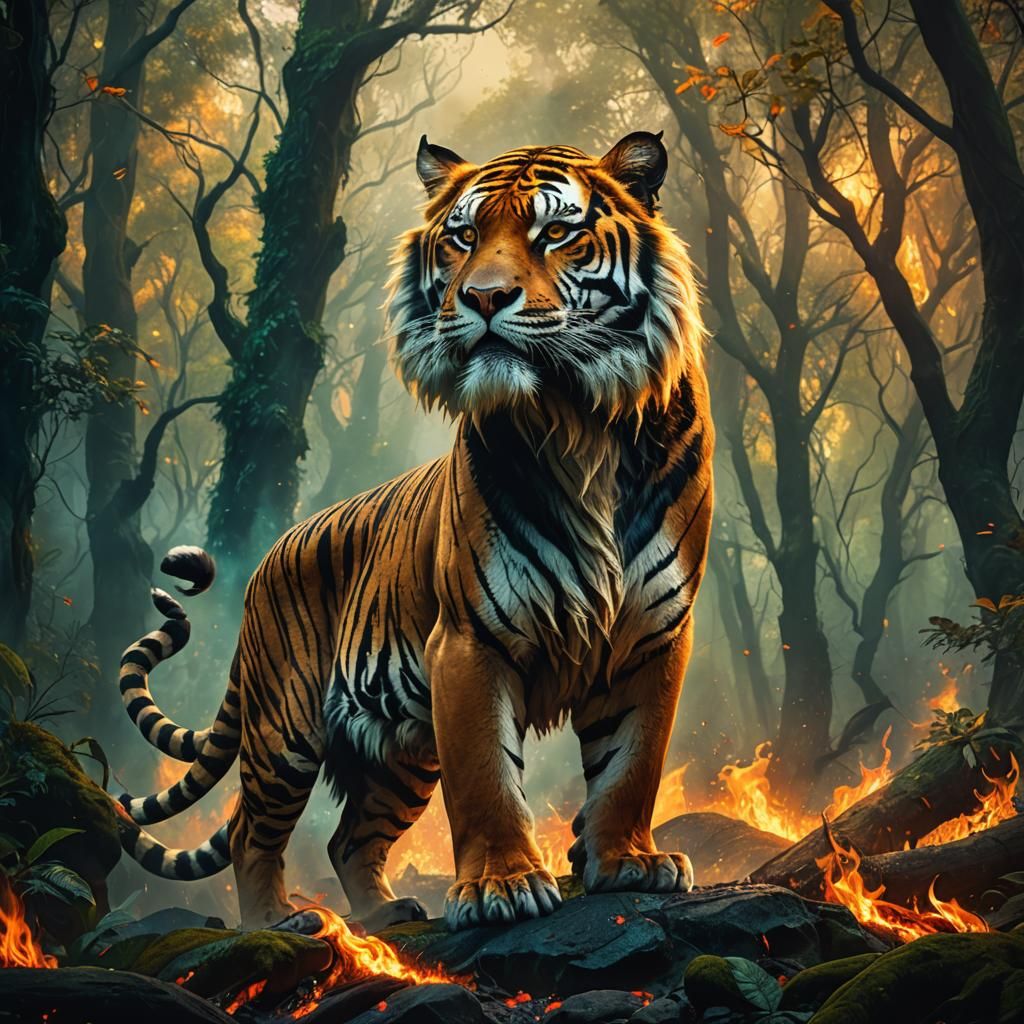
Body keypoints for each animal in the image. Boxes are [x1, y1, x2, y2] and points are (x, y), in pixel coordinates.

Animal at [113, 131, 714, 933]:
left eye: (555, 233)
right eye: (463, 237)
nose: (483, 298)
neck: (576, 420)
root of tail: (266, 560)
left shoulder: (653, 632)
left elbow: (630, 764)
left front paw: (628, 864)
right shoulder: (469, 640)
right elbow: (488, 779)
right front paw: (502, 889)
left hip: (399, 749)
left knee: (348, 839)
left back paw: (384, 915)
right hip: (285, 729)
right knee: (251, 833)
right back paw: (278, 923)